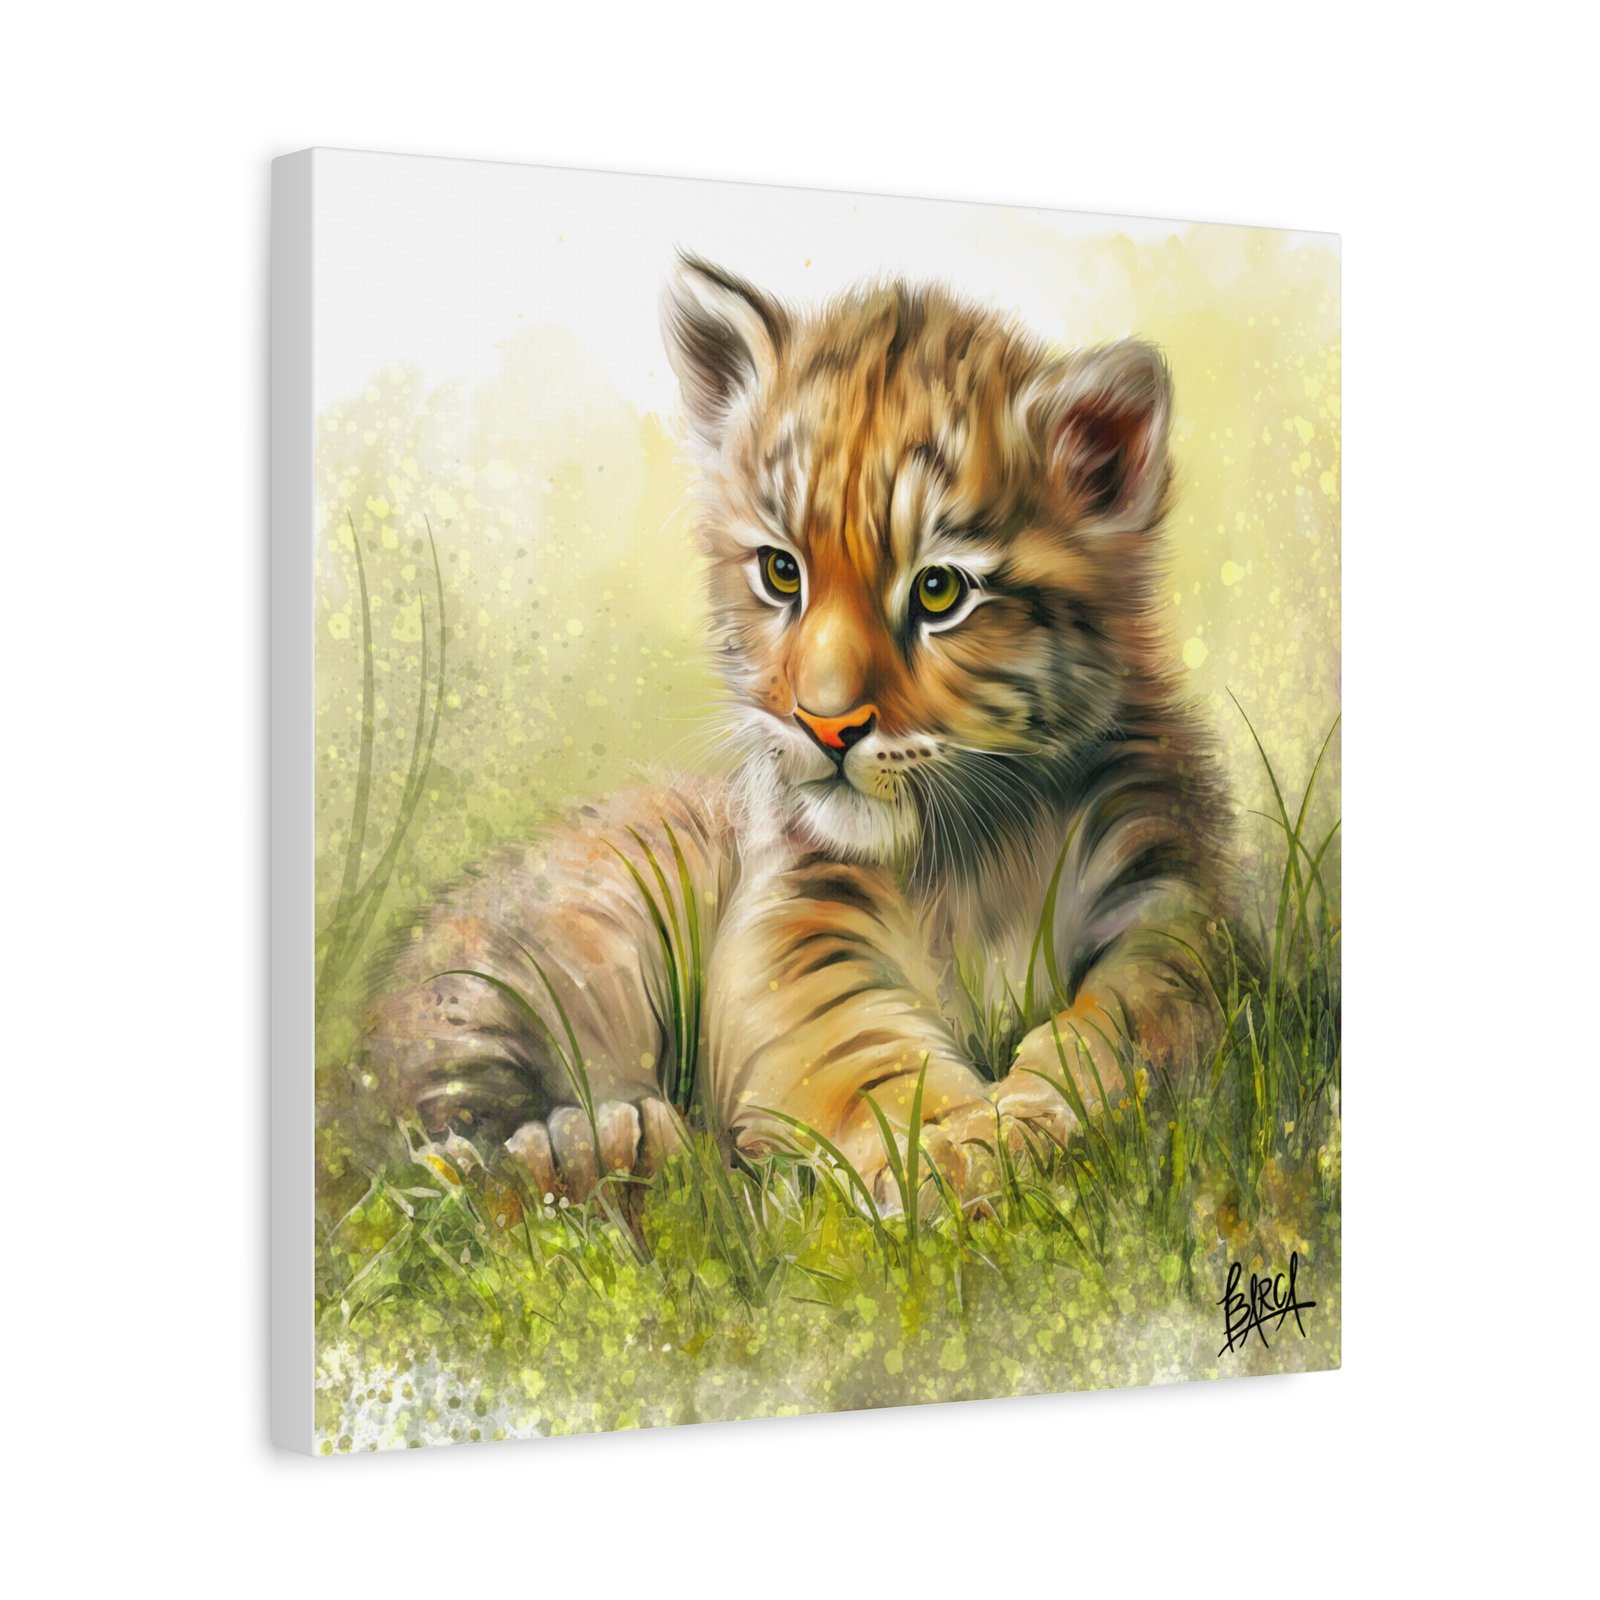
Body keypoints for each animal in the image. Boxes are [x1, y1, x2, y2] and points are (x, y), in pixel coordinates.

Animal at [358, 254, 1231, 1209]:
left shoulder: (1164, 897)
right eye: (782, 572)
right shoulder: (798, 916)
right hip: (520, 966)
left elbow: (1132, 1019)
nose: (825, 724)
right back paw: (599, 1147)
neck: (974, 851)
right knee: (431, 1150)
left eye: (939, 591)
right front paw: (952, 1152)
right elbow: (860, 1048)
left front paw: (1023, 1123)